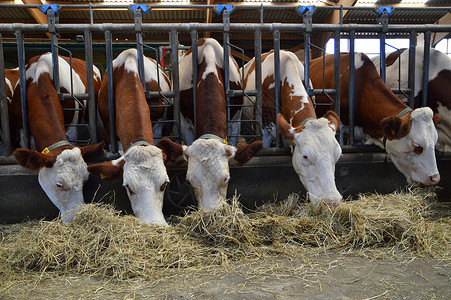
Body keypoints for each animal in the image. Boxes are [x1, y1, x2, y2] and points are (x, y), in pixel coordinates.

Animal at [10, 53, 103, 223]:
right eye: (59, 184)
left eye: (85, 180)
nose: (75, 218)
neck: (39, 77)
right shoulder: (21, 131)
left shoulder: (72, 126)